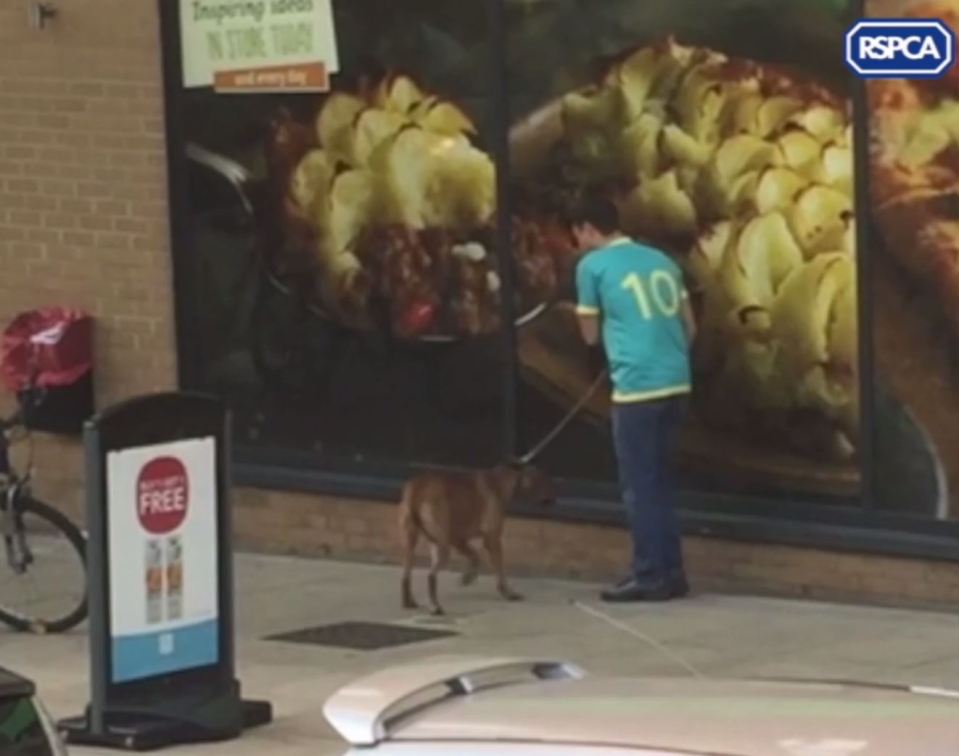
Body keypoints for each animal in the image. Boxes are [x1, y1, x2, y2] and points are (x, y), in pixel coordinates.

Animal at [398, 464, 556, 616]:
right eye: (542, 480)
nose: (553, 498)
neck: (502, 482)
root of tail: (418, 486)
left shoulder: (458, 538)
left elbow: (475, 556)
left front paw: (468, 577)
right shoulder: (492, 539)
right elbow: (499, 569)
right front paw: (507, 593)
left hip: (413, 542)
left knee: (406, 574)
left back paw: (408, 602)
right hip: (441, 546)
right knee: (431, 576)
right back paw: (435, 606)